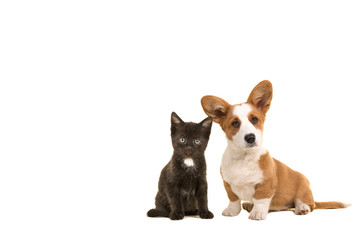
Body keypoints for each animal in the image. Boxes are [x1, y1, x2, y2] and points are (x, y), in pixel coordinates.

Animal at [200, 81, 348, 221]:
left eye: (254, 119)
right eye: (235, 123)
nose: (250, 137)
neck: (244, 157)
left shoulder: (266, 185)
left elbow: (260, 200)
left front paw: (257, 213)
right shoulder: (228, 184)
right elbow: (233, 199)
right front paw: (232, 211)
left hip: (303, 187)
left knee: (309, 204)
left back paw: (301, 208)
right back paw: (249, 205)